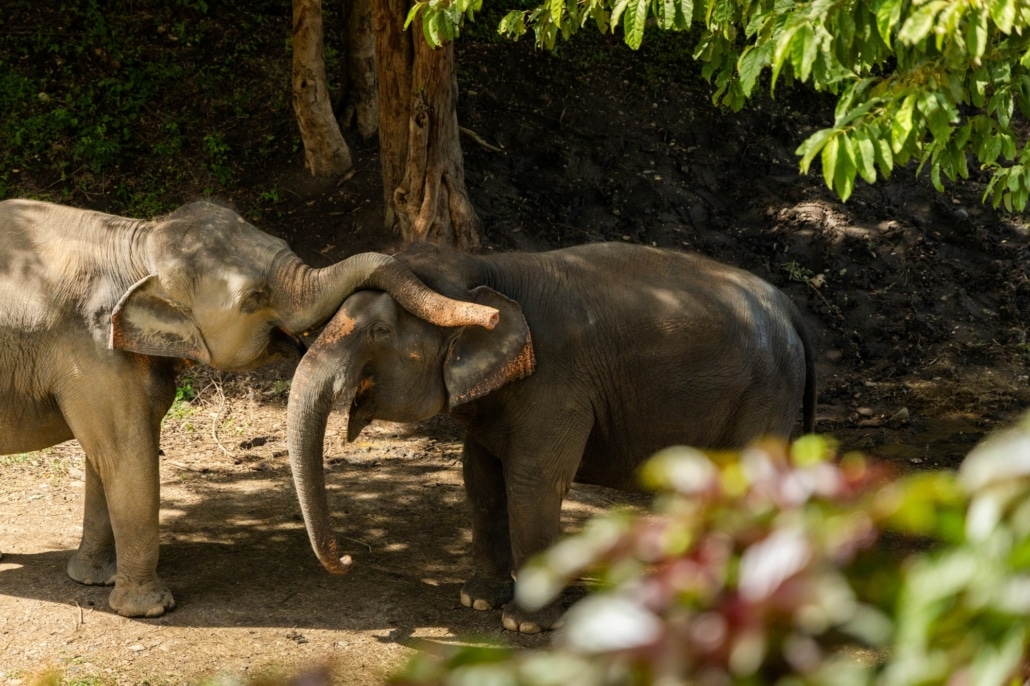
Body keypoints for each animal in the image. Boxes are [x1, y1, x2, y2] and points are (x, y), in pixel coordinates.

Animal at [0, 199, 497, 618]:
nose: (492, 317)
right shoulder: (90, 348)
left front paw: (93, 579)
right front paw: (150, 610)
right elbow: (122, 450)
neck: (139, 240)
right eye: (254, 299)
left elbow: (99, 456)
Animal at [286, 240, 816, 633]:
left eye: (378, 331)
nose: (347, 558)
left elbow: (532, 483)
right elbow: (480, 477)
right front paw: (477, 601)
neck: (488, 269)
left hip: (766, 393)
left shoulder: (559, 384)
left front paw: (524, 625)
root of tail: (790, 307)